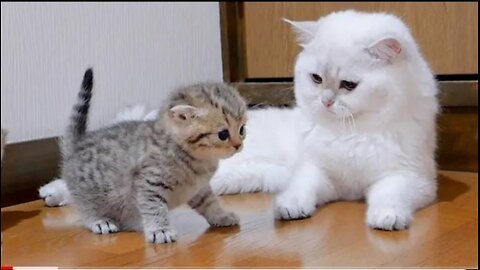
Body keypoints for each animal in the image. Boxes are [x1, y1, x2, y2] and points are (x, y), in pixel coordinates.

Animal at [61, 68, 246, 244]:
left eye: (242, 129)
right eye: (223, 134)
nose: (238, 145)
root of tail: (77, 143)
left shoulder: (198, 189)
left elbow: (209, 203)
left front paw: (220, 216)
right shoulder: (149, 183)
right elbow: (153, 208)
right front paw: (160, 230)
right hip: (90, 195)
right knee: (87, 210)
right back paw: (100, 221)